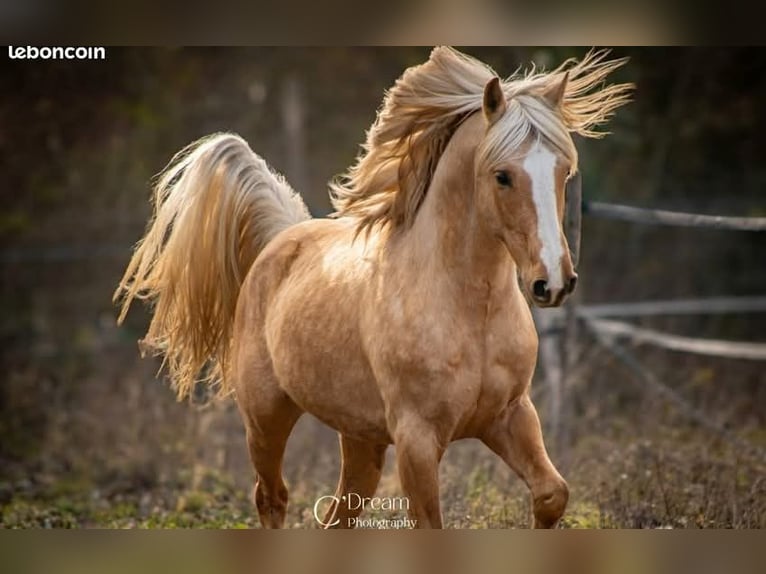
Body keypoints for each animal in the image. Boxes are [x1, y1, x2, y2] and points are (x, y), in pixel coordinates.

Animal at [114, 47, 631, 528]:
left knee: (336, 514)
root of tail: (281, 239)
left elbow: (552, 495)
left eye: (564, 172)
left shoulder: (511, 415)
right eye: (502, 175)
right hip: (266, 416)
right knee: (272, 498)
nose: (553, 282)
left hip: (360, 437)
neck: (469, 311)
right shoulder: (417, 438)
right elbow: (429, 520)